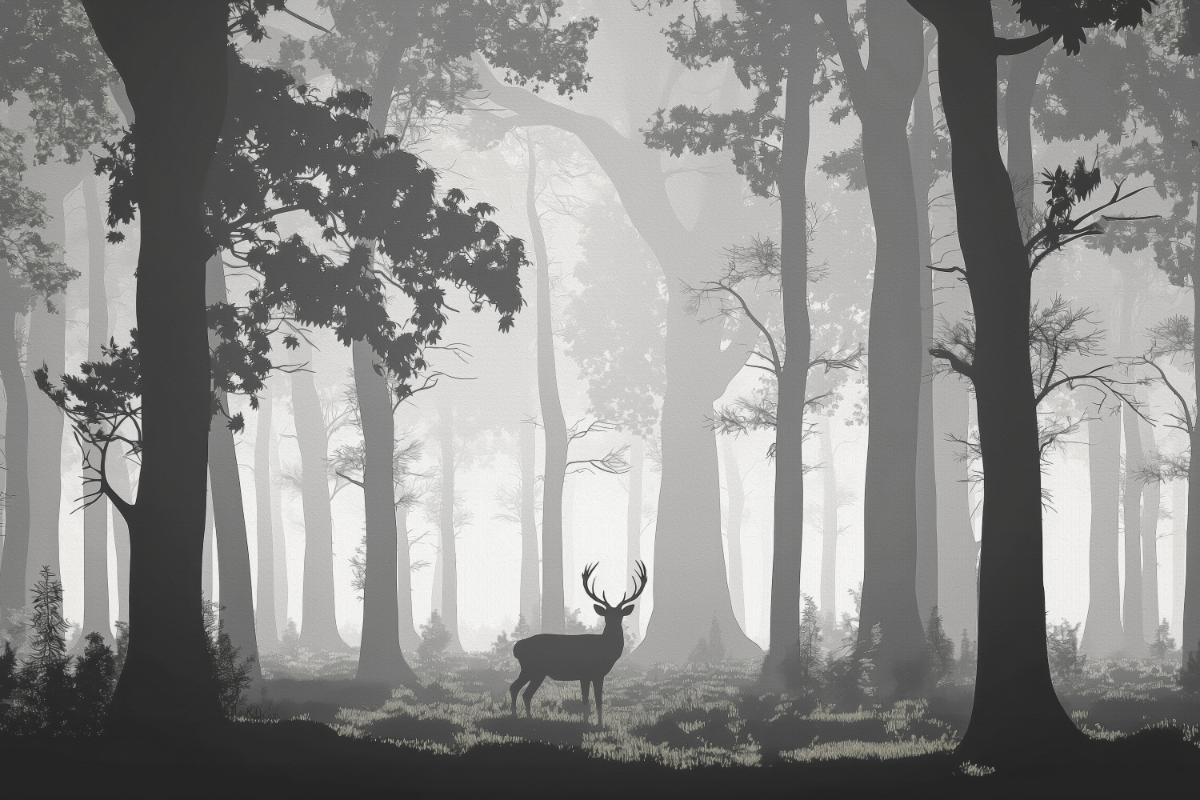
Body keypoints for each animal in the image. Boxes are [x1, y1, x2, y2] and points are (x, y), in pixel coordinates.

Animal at [509, 561, 647, 727]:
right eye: (606, 615)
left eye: (620, 615)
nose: (614, 625)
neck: (605, 650)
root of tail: (516, 647)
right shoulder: (588, 673)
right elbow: (589, 700)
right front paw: (594, 723)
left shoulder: (594, 675)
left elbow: (594, 700)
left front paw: (593, 723)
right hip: (532, 668)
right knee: (517, 689)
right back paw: (519, 717)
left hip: (535, 671)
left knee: (522, 691)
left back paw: (524, 718)